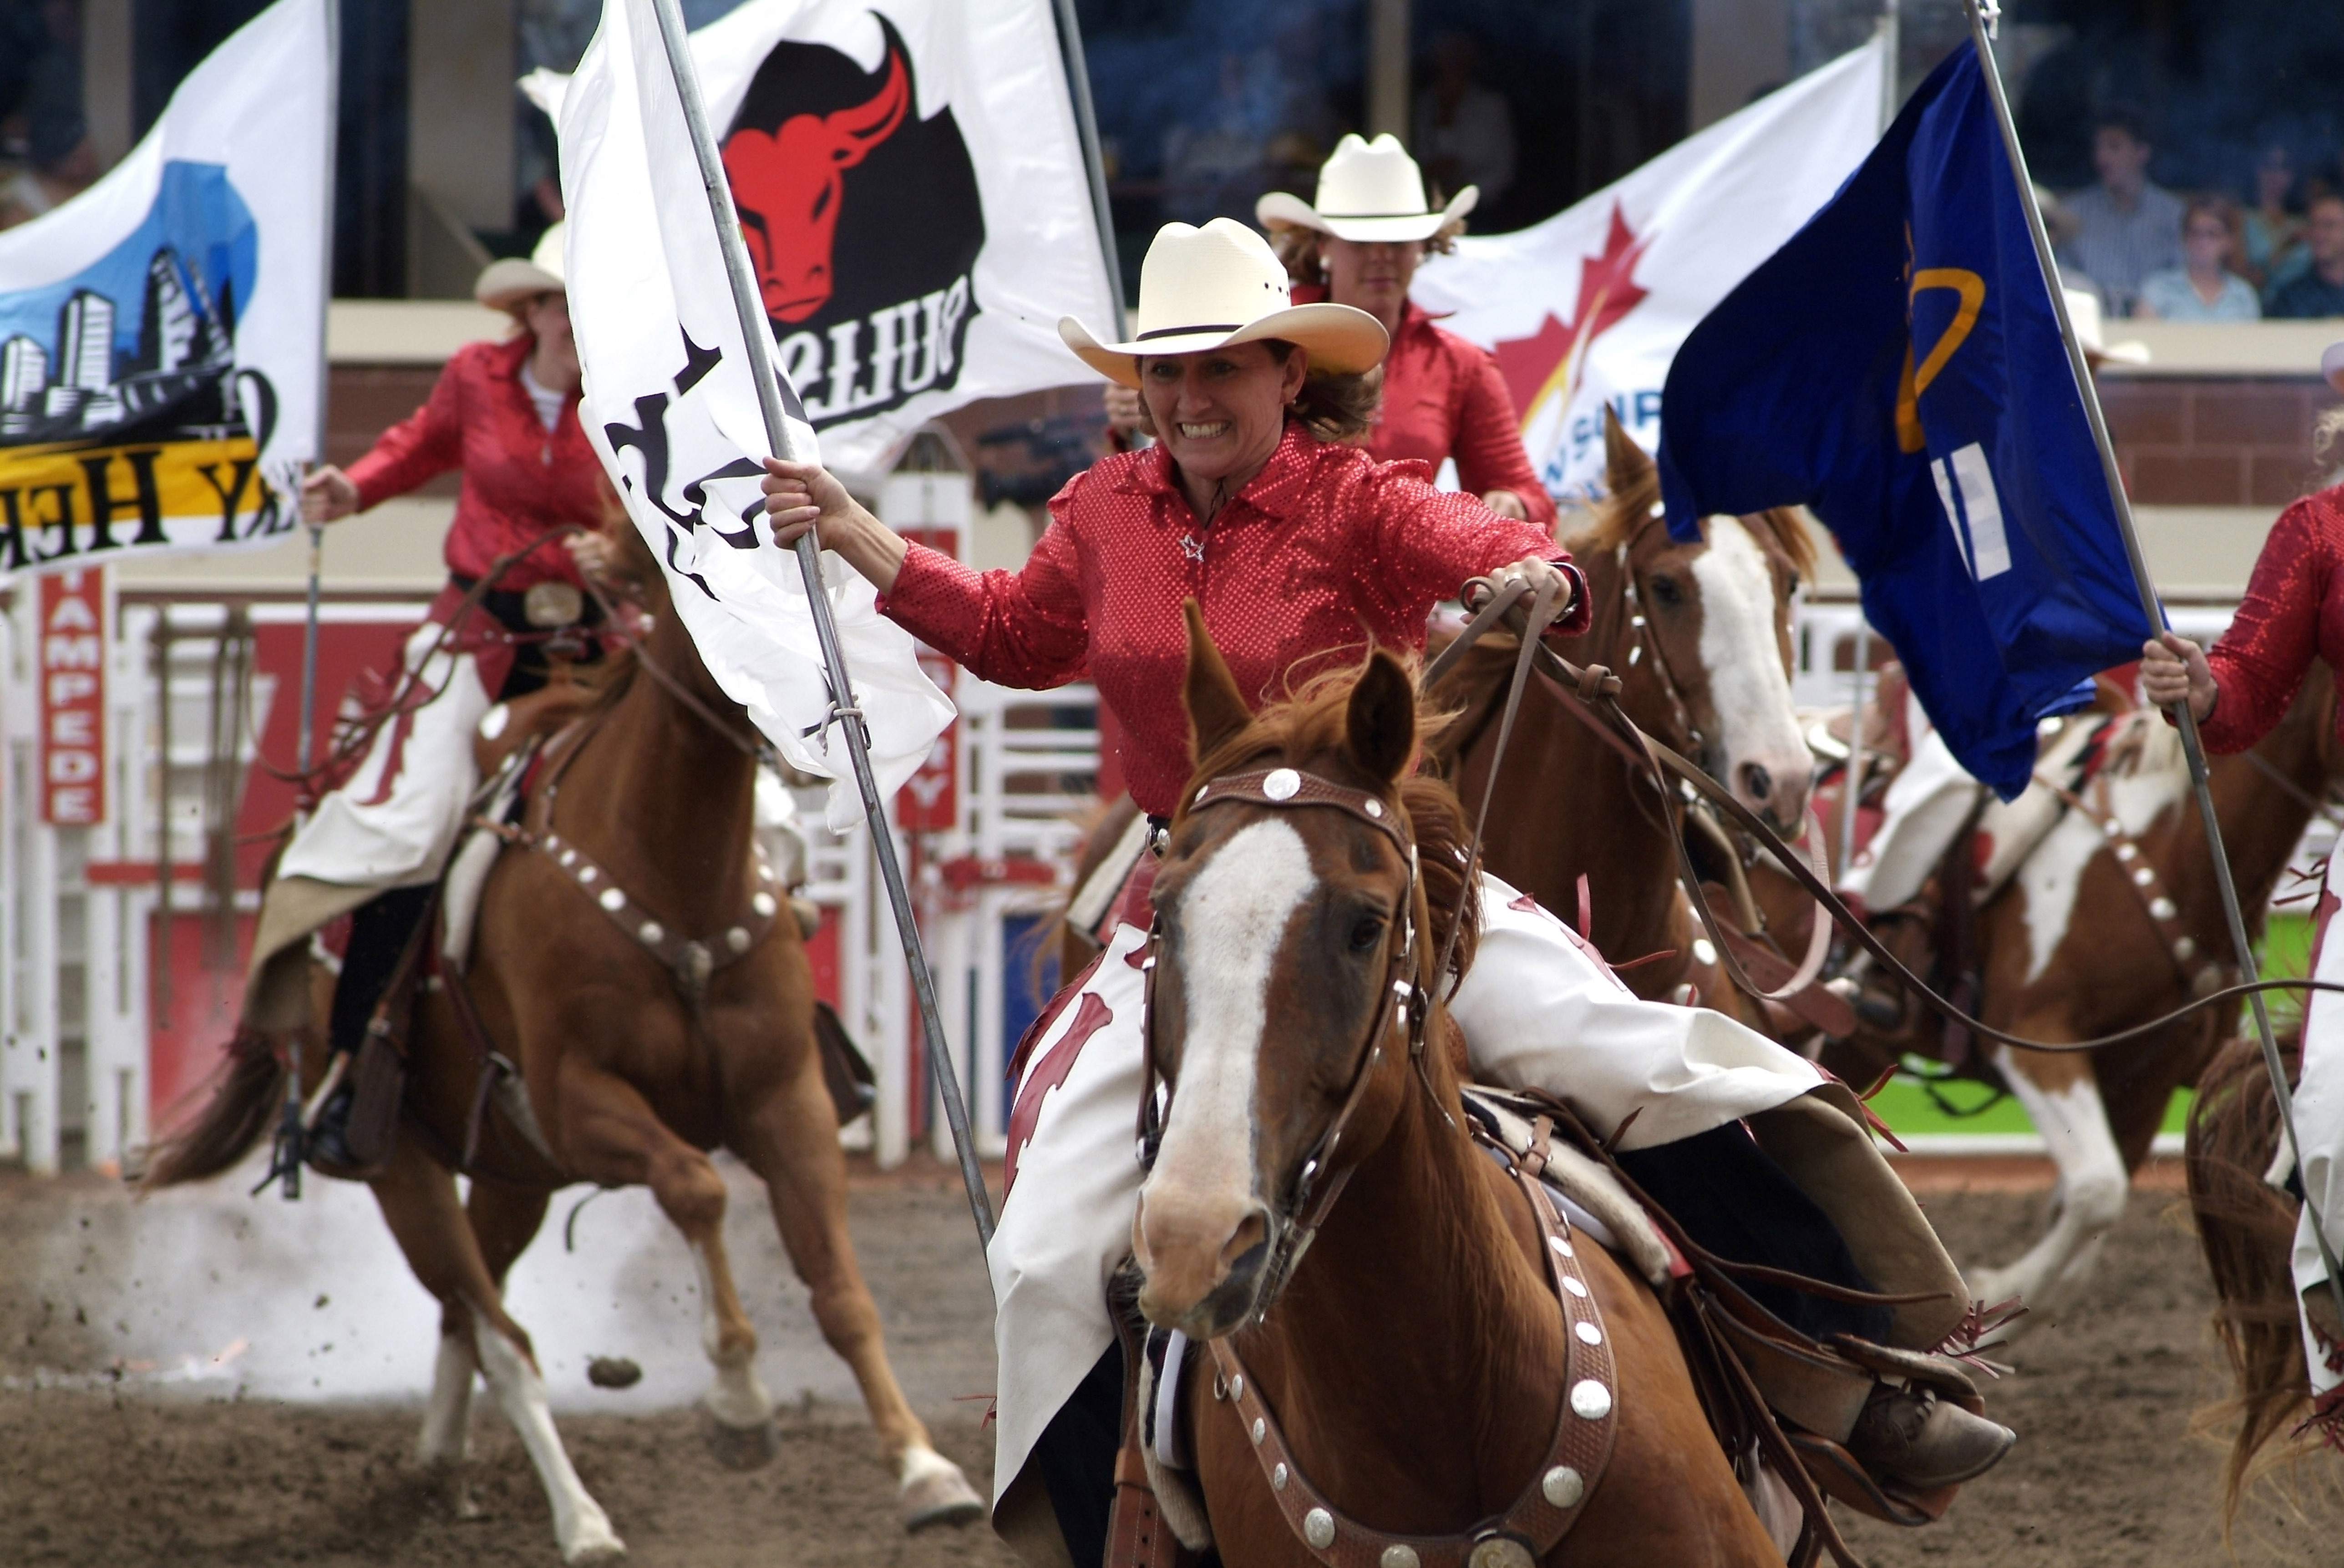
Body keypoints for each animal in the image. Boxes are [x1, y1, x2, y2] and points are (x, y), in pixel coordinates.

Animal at [139, 530, 979, 1565]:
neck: (669, 874)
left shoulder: (789, 1101)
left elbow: (841, 1291)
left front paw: (926, 1469)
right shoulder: (583, 1102)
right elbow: (696, 1189)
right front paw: (739, 1401)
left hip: (513, 1174)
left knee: (468, 1312)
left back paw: (443, 1462)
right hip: (405, 1169)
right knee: (499, 1333)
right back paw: (581, 1519)